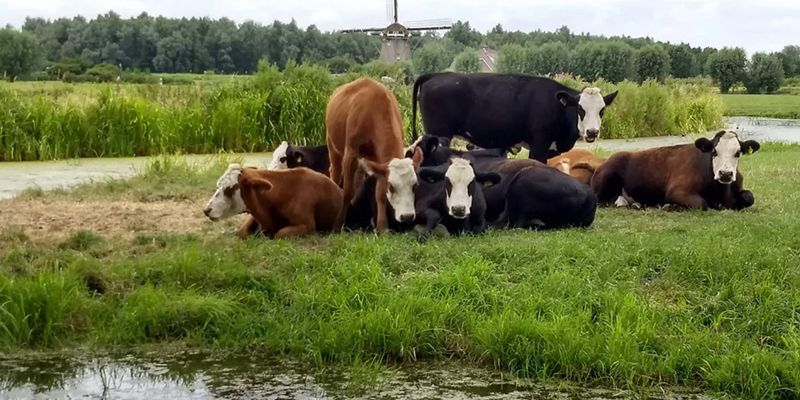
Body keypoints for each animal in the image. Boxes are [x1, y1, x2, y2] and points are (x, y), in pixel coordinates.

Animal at [202, 162, 342, 238]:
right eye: (218, 186)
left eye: (230, 188)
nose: (206, 210)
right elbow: (242, 232)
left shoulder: (307, 225)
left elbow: (280, 233)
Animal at [324, 77, 406, 231]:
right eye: (392, 187)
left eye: (415, 186)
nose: (407, 217)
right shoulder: (350, 153)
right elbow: (347, 191)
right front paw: (338, 224)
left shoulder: (380, 162)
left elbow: (380, 193)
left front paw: (382, 226)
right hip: (332, 145)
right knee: (335, 171)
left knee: (358, 177)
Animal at [410, 72, 620, 163]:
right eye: (580, 108)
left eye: (602, 110)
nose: (592, 132)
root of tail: (437, 75)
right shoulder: (539, 144)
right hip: (439, 134)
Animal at [592, 130, 760, 212]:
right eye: (714, 151)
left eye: (738, 153)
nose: (725, 174)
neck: (719, 194)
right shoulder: (677, 191)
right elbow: (701, 203)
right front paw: (671, 206)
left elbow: (749, 197)